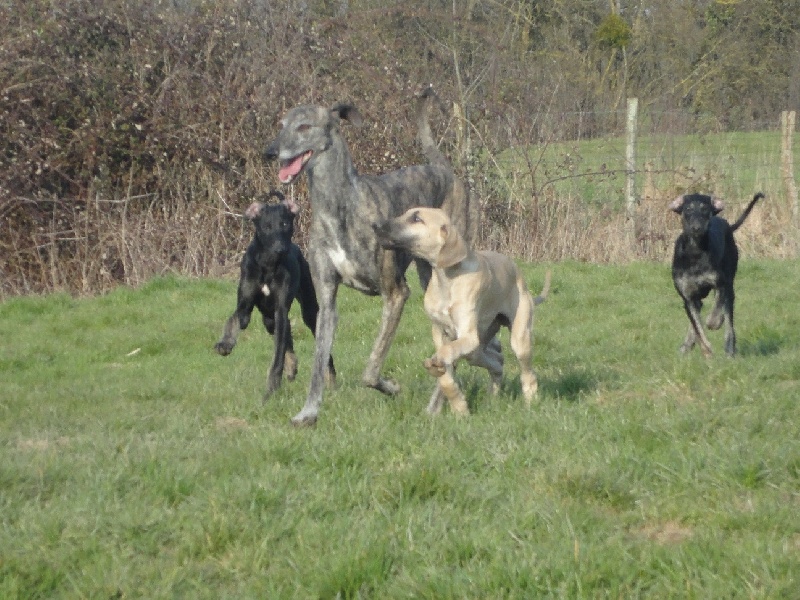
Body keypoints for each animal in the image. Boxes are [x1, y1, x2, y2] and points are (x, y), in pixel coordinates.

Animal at [214, 190, 336, 400]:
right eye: (266, 227)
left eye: (285, 224)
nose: (281, 249)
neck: (268, 264)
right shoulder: (245, 306)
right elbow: (234, 320)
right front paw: (225, 344)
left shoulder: (280, 308)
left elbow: (277, 355)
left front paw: (271, 389)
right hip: (268, 319)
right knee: (287, 338)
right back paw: (292, 366)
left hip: (308, 310)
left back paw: (331, 382)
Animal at [262, 88, 476, 426]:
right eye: (281, 125)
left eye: (304, 126)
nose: (269, 152)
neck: (339, 204)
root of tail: (446, 171)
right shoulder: (327, 300)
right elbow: (319, 362)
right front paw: (308, 412)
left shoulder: (395, 293)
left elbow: (371, 369)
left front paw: (391, 387)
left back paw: (439, 401)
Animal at [376, 206, 552, 412]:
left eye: (417, 219)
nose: (376, 225)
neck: (447, 280)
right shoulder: (440, 332)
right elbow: (445, 378)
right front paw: (459, 406)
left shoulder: (467, 336)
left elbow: (445, 352)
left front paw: (437, 364)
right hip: (476, 349)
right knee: (496, 363)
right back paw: (492, 394)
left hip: (519, 339)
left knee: (527, 373)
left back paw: (531, 402)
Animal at [668, 191, 764, 356]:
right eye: (687, 209)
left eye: (705, 209)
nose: (696, 227)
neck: (695, 252)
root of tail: (727, 225)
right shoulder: (687, 297)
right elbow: (697, 327)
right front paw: (705, 349)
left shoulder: (720, 284)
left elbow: (715, 313)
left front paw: (713, 323)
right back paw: (688, 344)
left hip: (730, 285)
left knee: (729, 320)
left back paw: (729, 349)